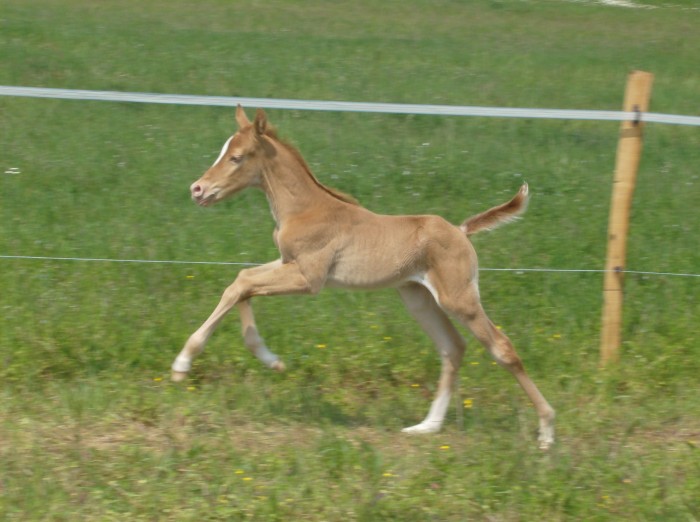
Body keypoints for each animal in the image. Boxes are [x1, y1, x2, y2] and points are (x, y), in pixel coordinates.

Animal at [172, 105, 556, 446]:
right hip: (418, 298)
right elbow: (241, 283)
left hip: (459, 298)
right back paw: (427, 427)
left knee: (501, 347)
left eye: (236, 157)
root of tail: (461, 231)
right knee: (452, 347)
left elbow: (243, 283)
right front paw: (272, 361)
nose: (197, 189)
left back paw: (547, 432)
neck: (306, 208)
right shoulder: (287, 263)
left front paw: (183, 363)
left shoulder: (309, 278)